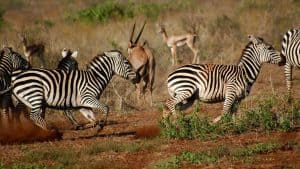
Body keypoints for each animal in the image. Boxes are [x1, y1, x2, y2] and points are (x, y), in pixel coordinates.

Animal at [5, 50, 139, 131]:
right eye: (127, 63)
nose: (138, 77)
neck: (95, 77)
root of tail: (15, 75)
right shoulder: (87, 98)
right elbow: (106, 108)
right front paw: (101, 126)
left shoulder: (83, 104)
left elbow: (92, 118)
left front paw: (89, 125)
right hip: (35, 96)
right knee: (34, 116)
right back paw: (50, 130)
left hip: (28, 99)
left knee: (24, 114)